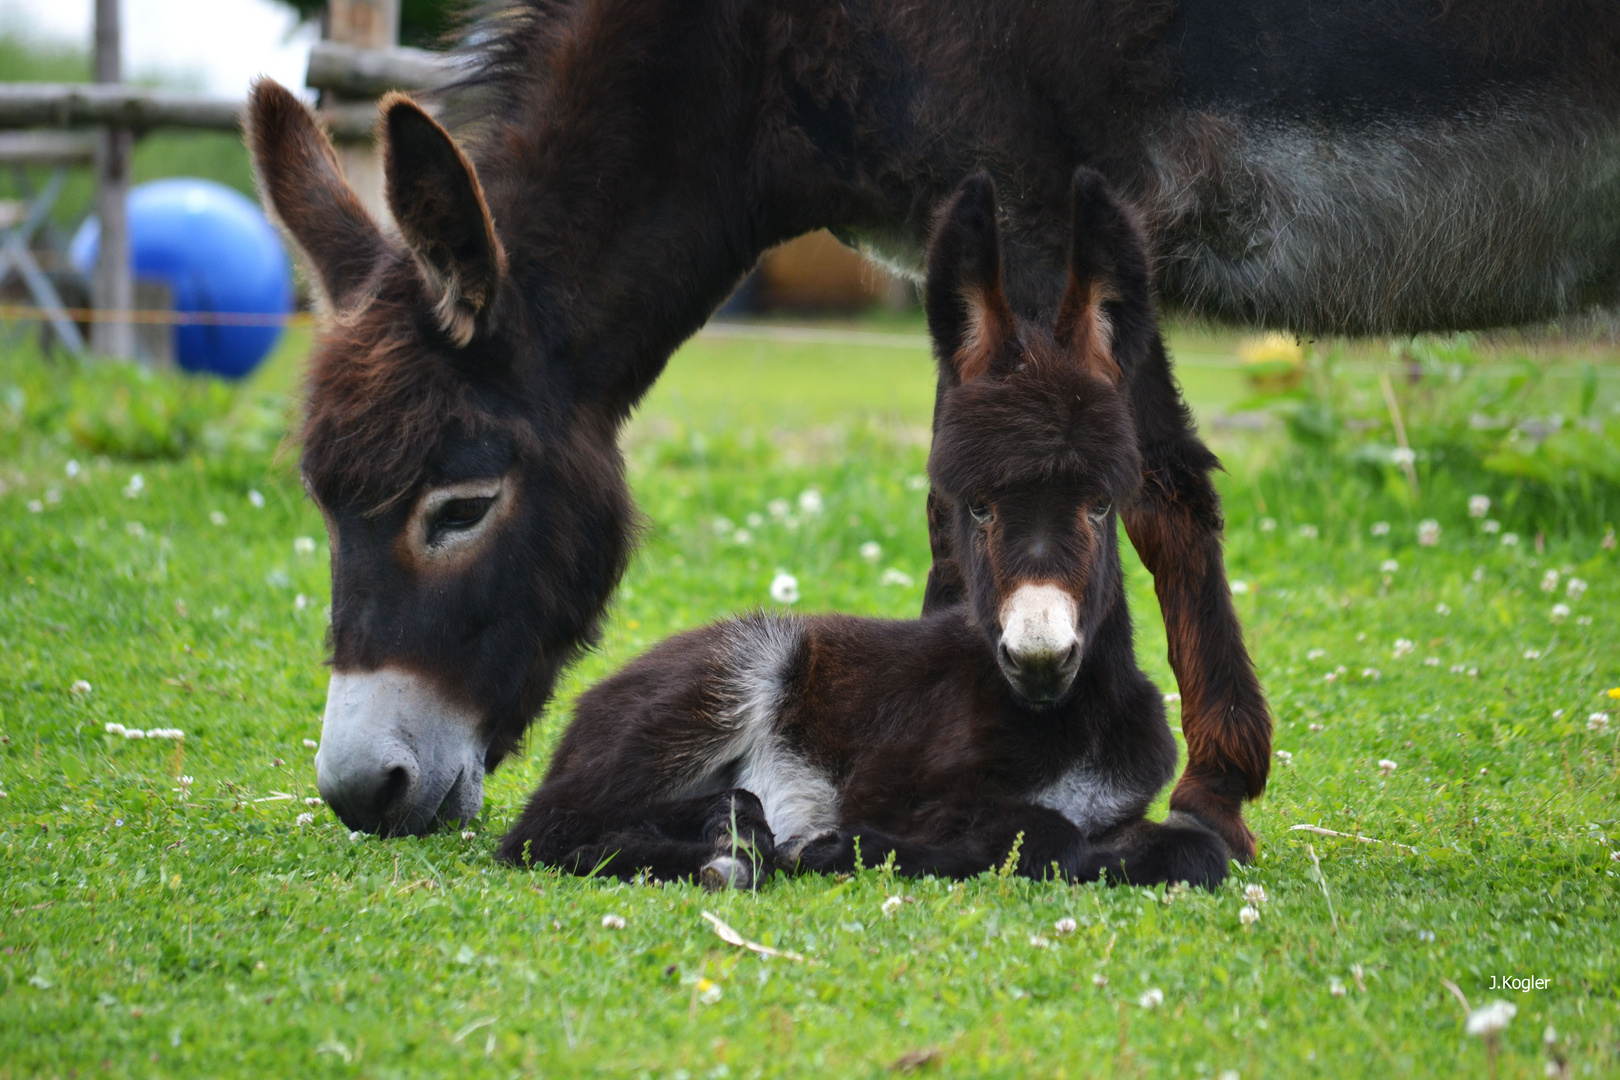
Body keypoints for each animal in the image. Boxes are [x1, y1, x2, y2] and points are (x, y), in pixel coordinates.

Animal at [495, 173, 1224, 893]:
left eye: (1101, 504)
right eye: (978, 506)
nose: (1039, 657)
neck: (1065, 721)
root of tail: (596, 694)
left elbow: (1199, 850)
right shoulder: (896, 788)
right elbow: (1049, 834)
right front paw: (842, 847)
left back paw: (733, 845)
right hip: (722, 681)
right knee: (543, 829)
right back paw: (737, 846)